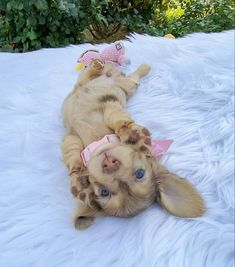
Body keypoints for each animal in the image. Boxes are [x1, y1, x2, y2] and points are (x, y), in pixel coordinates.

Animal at [61, 60, 206, 230]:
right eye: (104, 192)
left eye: (139, 174)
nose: (110, 164)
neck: (97, 140)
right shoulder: (71, 137)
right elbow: (71, 154)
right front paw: (77, 176)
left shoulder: (113, 108)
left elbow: (116, 117)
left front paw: (132, 133)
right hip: (87, 82)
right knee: (87, 77)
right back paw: (98, 65)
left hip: (128, 87)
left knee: (132, 79)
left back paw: (141, 67)